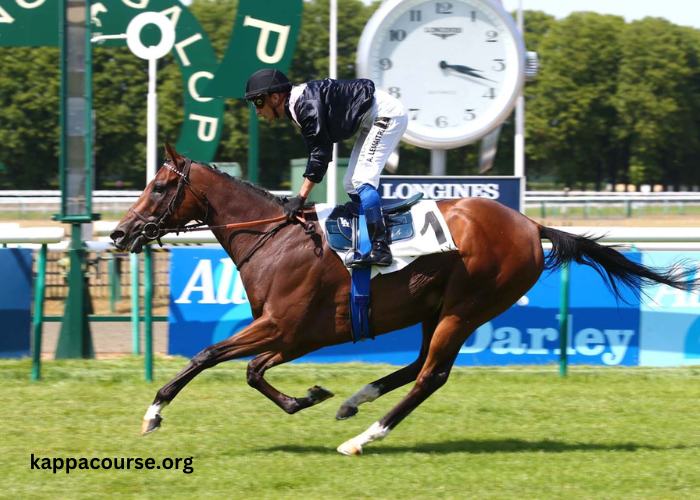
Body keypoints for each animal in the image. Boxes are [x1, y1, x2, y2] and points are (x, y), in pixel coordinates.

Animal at [112, 143, 696, 456]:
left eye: (159, 187)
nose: (119, 234)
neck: (275, 238)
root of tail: (531, 225)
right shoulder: (298, 335)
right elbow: (253, 370)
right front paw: (312, 396)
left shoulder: (284, 326)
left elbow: (208, 355)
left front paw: (153, 413)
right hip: (434, 310)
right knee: (417, 365)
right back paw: (355, 400)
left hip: (467, 307)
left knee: (430, 376)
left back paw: (364, 436)